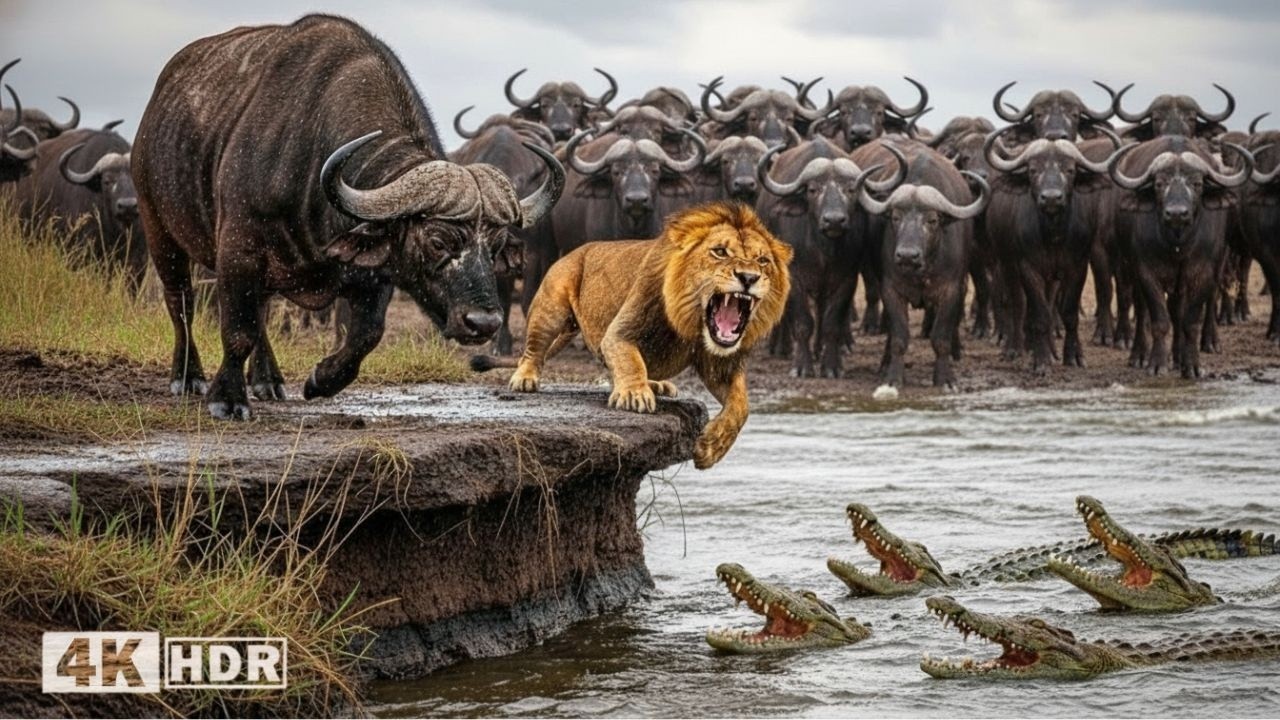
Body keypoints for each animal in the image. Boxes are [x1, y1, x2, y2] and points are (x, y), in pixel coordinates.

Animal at [132, 14, 563, 420]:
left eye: (494, 247)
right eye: (438, 240)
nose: (484, 323)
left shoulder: (373, 275)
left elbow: (365, 335)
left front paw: (320, 379)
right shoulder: (239, 252)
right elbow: (238, 330)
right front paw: (228, 399)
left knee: (263, 313)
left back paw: (268, 380)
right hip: (159, 229)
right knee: (181, 302)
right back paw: (188, 376)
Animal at [473, 202, 792, 469]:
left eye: (762, 260)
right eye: (720, 252)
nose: (748, 277)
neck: (692, 323)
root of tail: (576, 251)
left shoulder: (719, 364)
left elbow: (741, 405)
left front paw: (711, 446)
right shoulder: (620, 332)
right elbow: (629, 359)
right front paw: (634, 395)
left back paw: (657, 384)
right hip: (550, 305)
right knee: (534, 350)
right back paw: (525, 378)